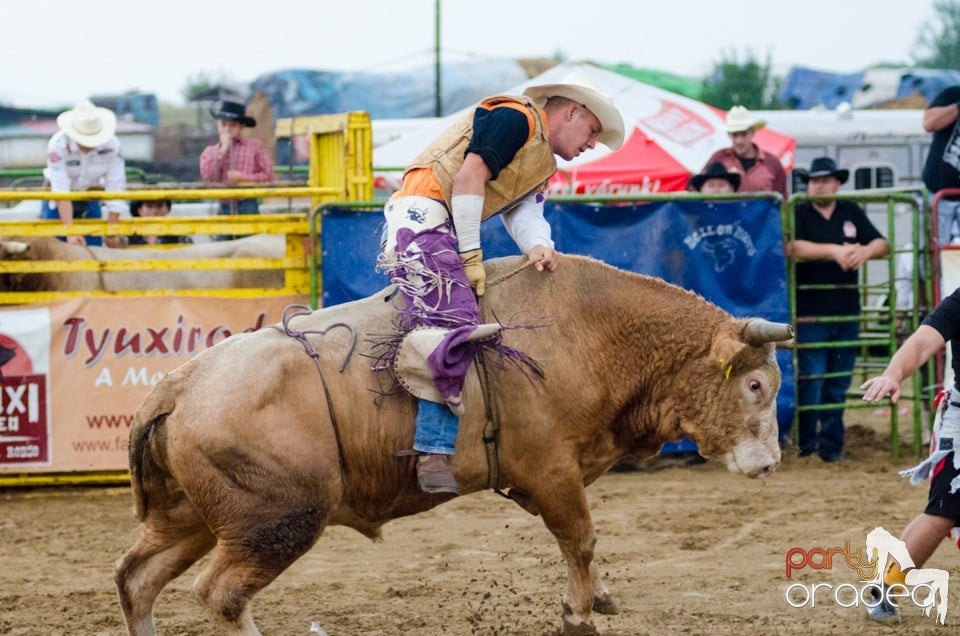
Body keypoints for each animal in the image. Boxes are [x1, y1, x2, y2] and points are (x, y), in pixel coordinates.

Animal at [114, 255, 788, 636]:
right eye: (755, 384)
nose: (771, 464)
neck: (588, 330)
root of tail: (179, 385)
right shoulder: (551, 470)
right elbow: (581, 539)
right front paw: (577, 613)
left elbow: (583, 547)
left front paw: (597, 597)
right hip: (277, 522)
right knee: (222, 595)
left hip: (193, 520)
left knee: (137, 579)